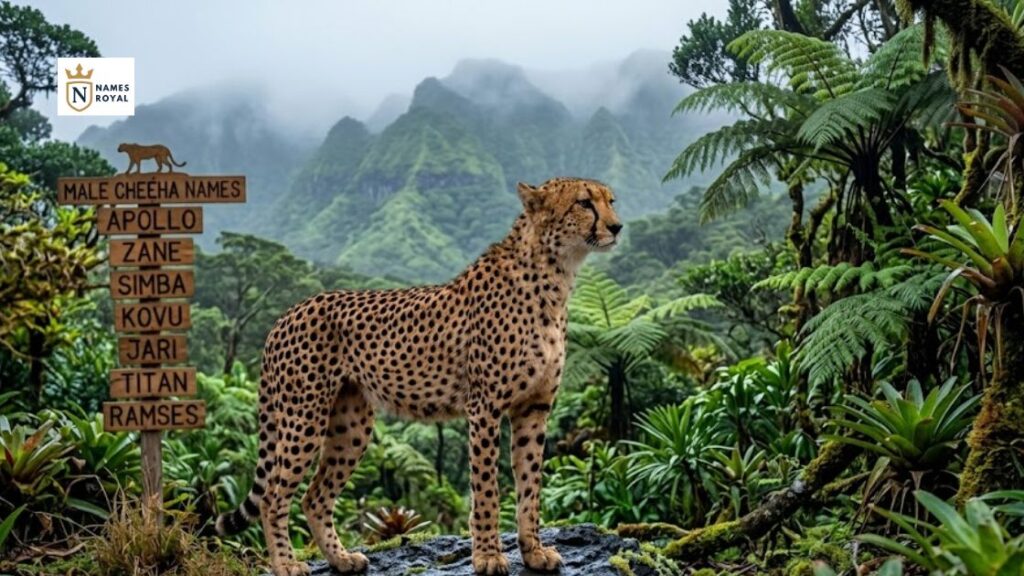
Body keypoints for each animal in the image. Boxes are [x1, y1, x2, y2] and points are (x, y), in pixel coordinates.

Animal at [215, 177, 622, 576]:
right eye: (584, 203)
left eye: (611, 200)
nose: (617, 226)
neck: (554, 275)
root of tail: (287, 313)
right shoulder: (485, 407)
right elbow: (486, 487)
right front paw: (488, 556)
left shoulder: (534, 408)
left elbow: (530, 486)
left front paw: (533, 552)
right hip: (304, 417)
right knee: (272, 496)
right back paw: (286, 563)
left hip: (351, 425)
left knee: (315, 497)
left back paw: (341, 559)